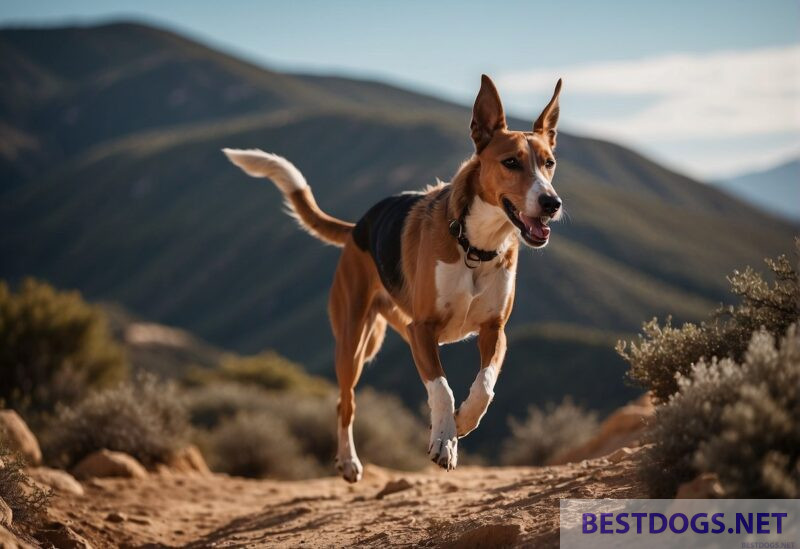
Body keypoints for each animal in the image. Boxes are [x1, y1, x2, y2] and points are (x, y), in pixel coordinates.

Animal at [223, 75, 564, 482]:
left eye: (549, 163)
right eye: (510, 162)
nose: (552, 203)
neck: (474, 245)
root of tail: (357, 227)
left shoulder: (493, 330)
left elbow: (483, 387)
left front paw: (461, 423)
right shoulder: (423, 328)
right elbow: (442, 389)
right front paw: (445, 440)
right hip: (353, 343)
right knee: (345, 403)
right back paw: (349, 461)